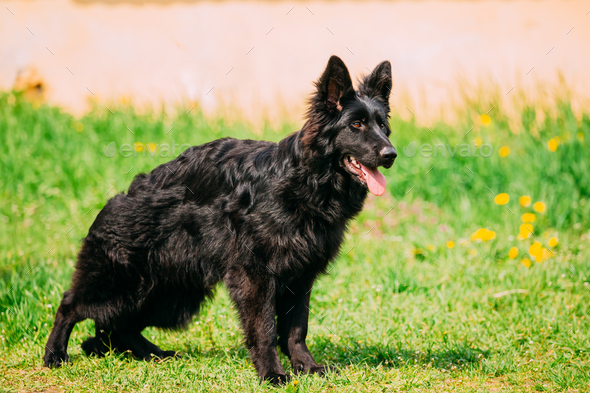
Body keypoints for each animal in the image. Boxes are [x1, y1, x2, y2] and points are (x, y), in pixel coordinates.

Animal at [45, 55, 398, 382]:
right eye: (356, 125)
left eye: (383, 126)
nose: (391, 155)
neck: (305, 181)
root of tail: (121, 197)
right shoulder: (255, 275)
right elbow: (265, 329)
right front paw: (272, 374)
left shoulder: (300, 277)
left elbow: (297, 329)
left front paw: (306, 367)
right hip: (123, 286)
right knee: (70, 305)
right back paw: (55, 354)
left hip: (169, 294)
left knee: (119, 327)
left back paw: (154, 354)